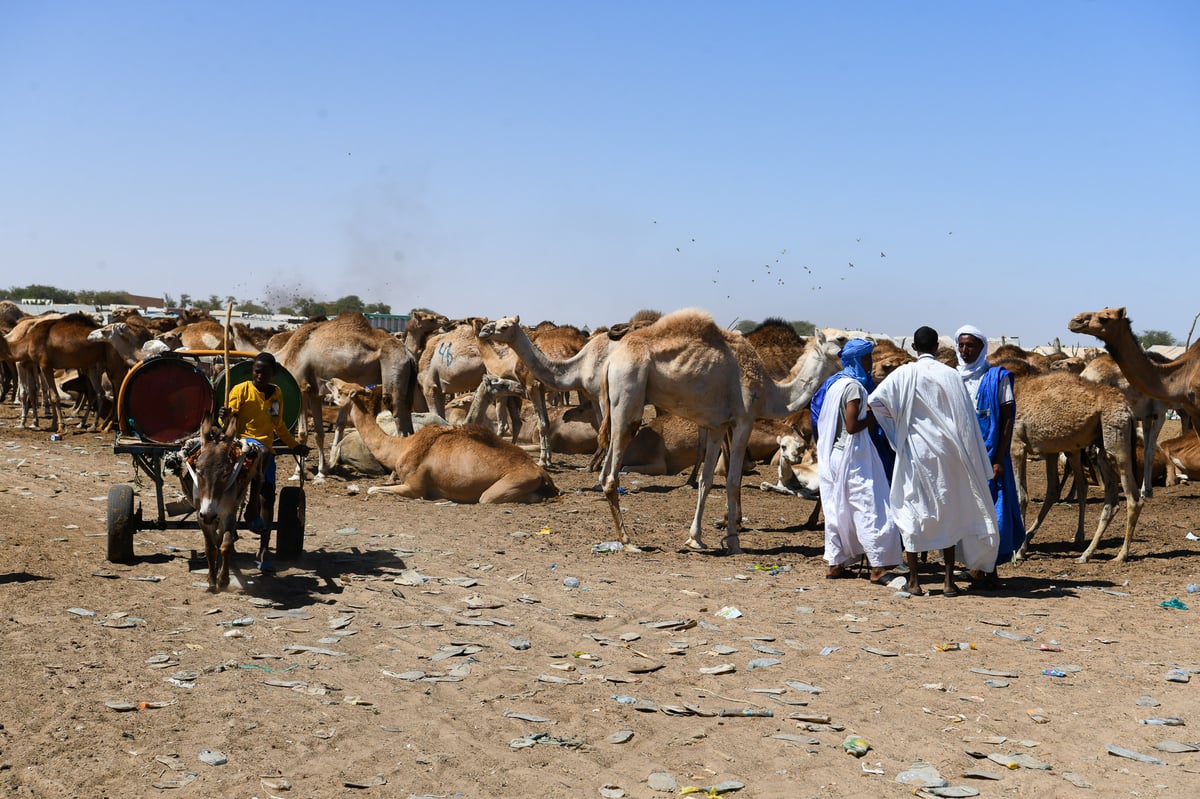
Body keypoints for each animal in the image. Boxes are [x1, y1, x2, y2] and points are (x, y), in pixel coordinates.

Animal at [274, 311, 420, 475]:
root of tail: (409, 355)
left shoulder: (302, 387)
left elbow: (303, 433)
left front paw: (298, 472)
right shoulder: (315, 393)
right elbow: (319, 433)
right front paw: (322, 470)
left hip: (394, 369)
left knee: (398, 415)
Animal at [324, 376, 556, 501]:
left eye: (341, 390)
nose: (330, 381)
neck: (401, 447)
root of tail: (541, 472)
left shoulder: (414, 487)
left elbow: (373, 488)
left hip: (502, 488)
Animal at [595, 305, 840, 554]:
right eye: (840, 338)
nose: (847, 360)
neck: (768, 390)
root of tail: (611, 361)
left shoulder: (717, 426)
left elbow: (707, 480)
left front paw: (695, 539)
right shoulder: (744, 420)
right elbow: (732, 479)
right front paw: (733, 540)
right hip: (628, 397)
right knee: (611, 474)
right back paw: (628, 542)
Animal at [1012, 371, 1142, 563]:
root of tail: (1128, 410)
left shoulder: (1016, 446)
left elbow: (1020, 496)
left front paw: (1019, 550)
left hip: (1116, 442)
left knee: (1133, 498)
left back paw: (1120, 555)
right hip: (1101, 444)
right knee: (1110, 501)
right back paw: (1086, 554)